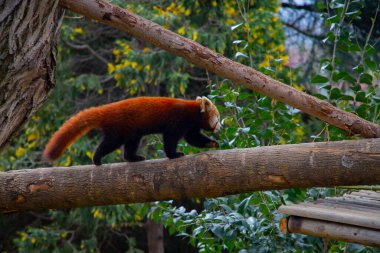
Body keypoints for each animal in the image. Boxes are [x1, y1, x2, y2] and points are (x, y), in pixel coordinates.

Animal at [42, 96, 220, 165]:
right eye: (218, 118)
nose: (220, 127)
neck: (193, 112)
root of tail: (108, 109)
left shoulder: (191, 126)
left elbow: (193, 138)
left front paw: (212, 143)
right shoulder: (178, 119)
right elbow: (170, 138)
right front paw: (174, 154)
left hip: (132, 131)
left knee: (131, 144)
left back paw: (133, 157)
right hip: (119, 128)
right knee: (110, 143)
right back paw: (97, 158)